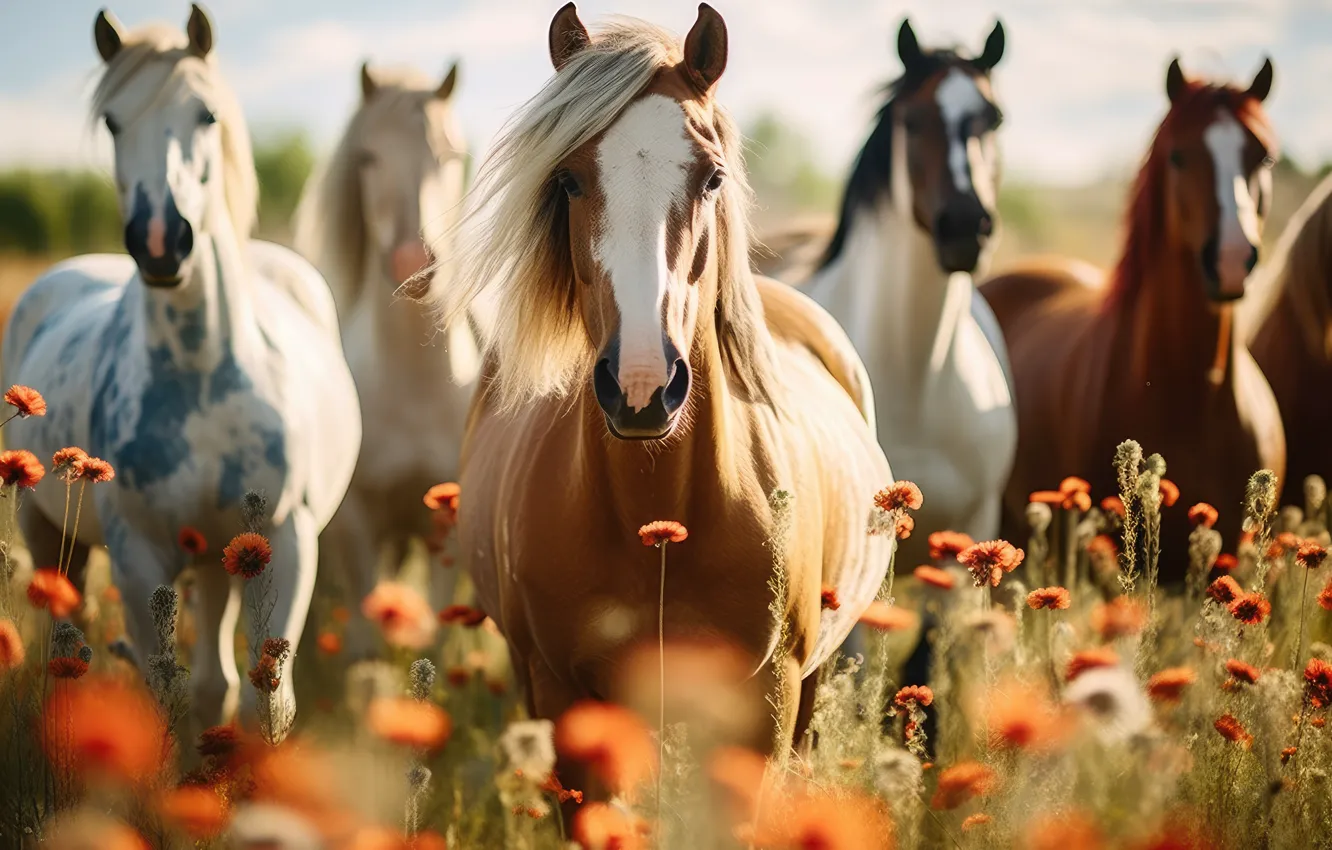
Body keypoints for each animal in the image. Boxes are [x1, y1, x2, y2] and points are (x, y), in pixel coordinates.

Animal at [2, 5, 361, 732]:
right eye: (113, 121)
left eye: (207, 115)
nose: (161, 240)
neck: (201, 377)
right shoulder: (141, 556)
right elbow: (162, 692)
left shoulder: (284, 543)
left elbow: (265, 699)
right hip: (52, 536)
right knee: (66, 644)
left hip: (222, 560)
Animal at [292, 60, 477, 657]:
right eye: (369, 157)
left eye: (452, 155)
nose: (412, 262)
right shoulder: (355, 525)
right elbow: (363, 631)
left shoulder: (448, 526)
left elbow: (439, 634)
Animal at [431, 3, 894, 765]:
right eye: (568, 178)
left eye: (711, 178)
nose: (642, 384)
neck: (659, 521)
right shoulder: (563, 698)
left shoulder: (768, 707)